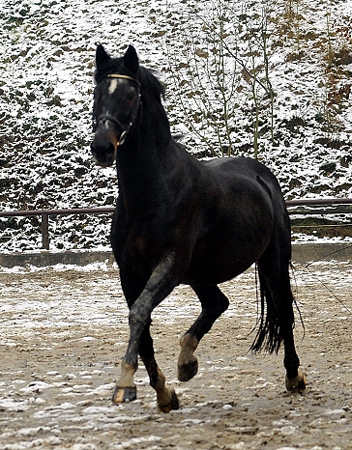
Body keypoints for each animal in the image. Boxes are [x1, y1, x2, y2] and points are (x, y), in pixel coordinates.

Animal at [91, 44, 306, 412]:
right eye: (97, 93)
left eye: (130, 95)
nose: (102, 147)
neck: (153, 190)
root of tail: (263, 176)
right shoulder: (130, 273)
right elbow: (142, 326)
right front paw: (164, 393)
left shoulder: (169, 265)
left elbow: (139, 314)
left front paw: (125, 384)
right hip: (200, 272)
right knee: (217, 303)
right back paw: (187, 361)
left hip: (272, 262)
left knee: (283, 312)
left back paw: (294, 377)